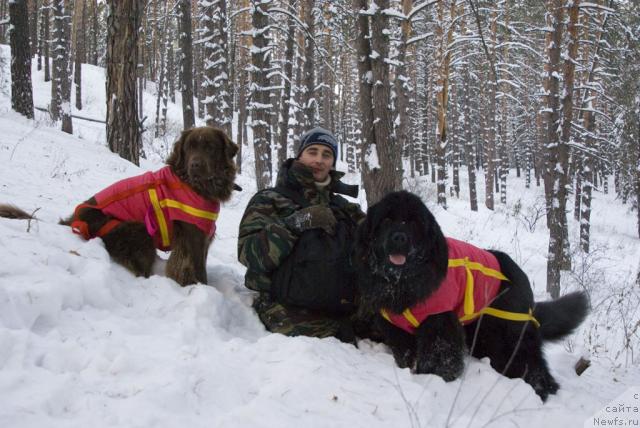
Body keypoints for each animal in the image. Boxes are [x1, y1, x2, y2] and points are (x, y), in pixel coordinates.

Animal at [0, 127, 240, 288]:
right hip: (135, 228)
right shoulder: (192, 235)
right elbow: (198, 270)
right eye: (189, 147)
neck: (196, 185)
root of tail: (72, 221)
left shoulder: (204, 235)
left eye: (210, 147)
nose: (195, 165)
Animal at [356, 191, 592, 402]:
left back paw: (540, 390)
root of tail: (519, 273)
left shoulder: (439, 323)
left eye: (413, 223)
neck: (402, 281)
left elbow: (439, 355)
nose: (399, 237)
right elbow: (405, 353)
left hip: (511, 331)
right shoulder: (396, 328)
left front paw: (436, 379)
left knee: (530, 361)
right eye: (387, 220)